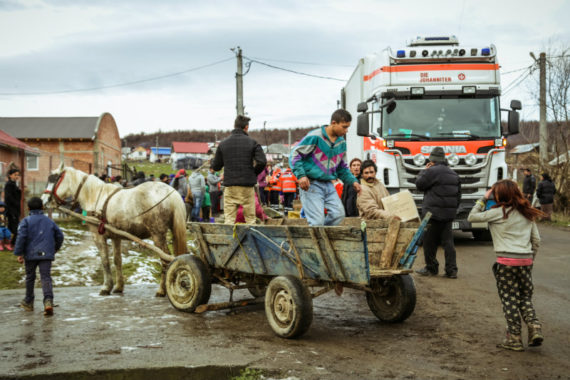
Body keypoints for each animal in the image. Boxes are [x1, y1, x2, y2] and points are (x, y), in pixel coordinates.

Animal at [42, 163, 189, 296]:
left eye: (53, 179)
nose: (44, 200)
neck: (96, 197)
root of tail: (171, 193)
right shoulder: (116, 237)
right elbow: (117, 260)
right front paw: (118, 287)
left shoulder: (98, 236)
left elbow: (105, 260)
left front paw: (106, 287)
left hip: (157, 235)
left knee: (166, 259)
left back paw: (162, 290)